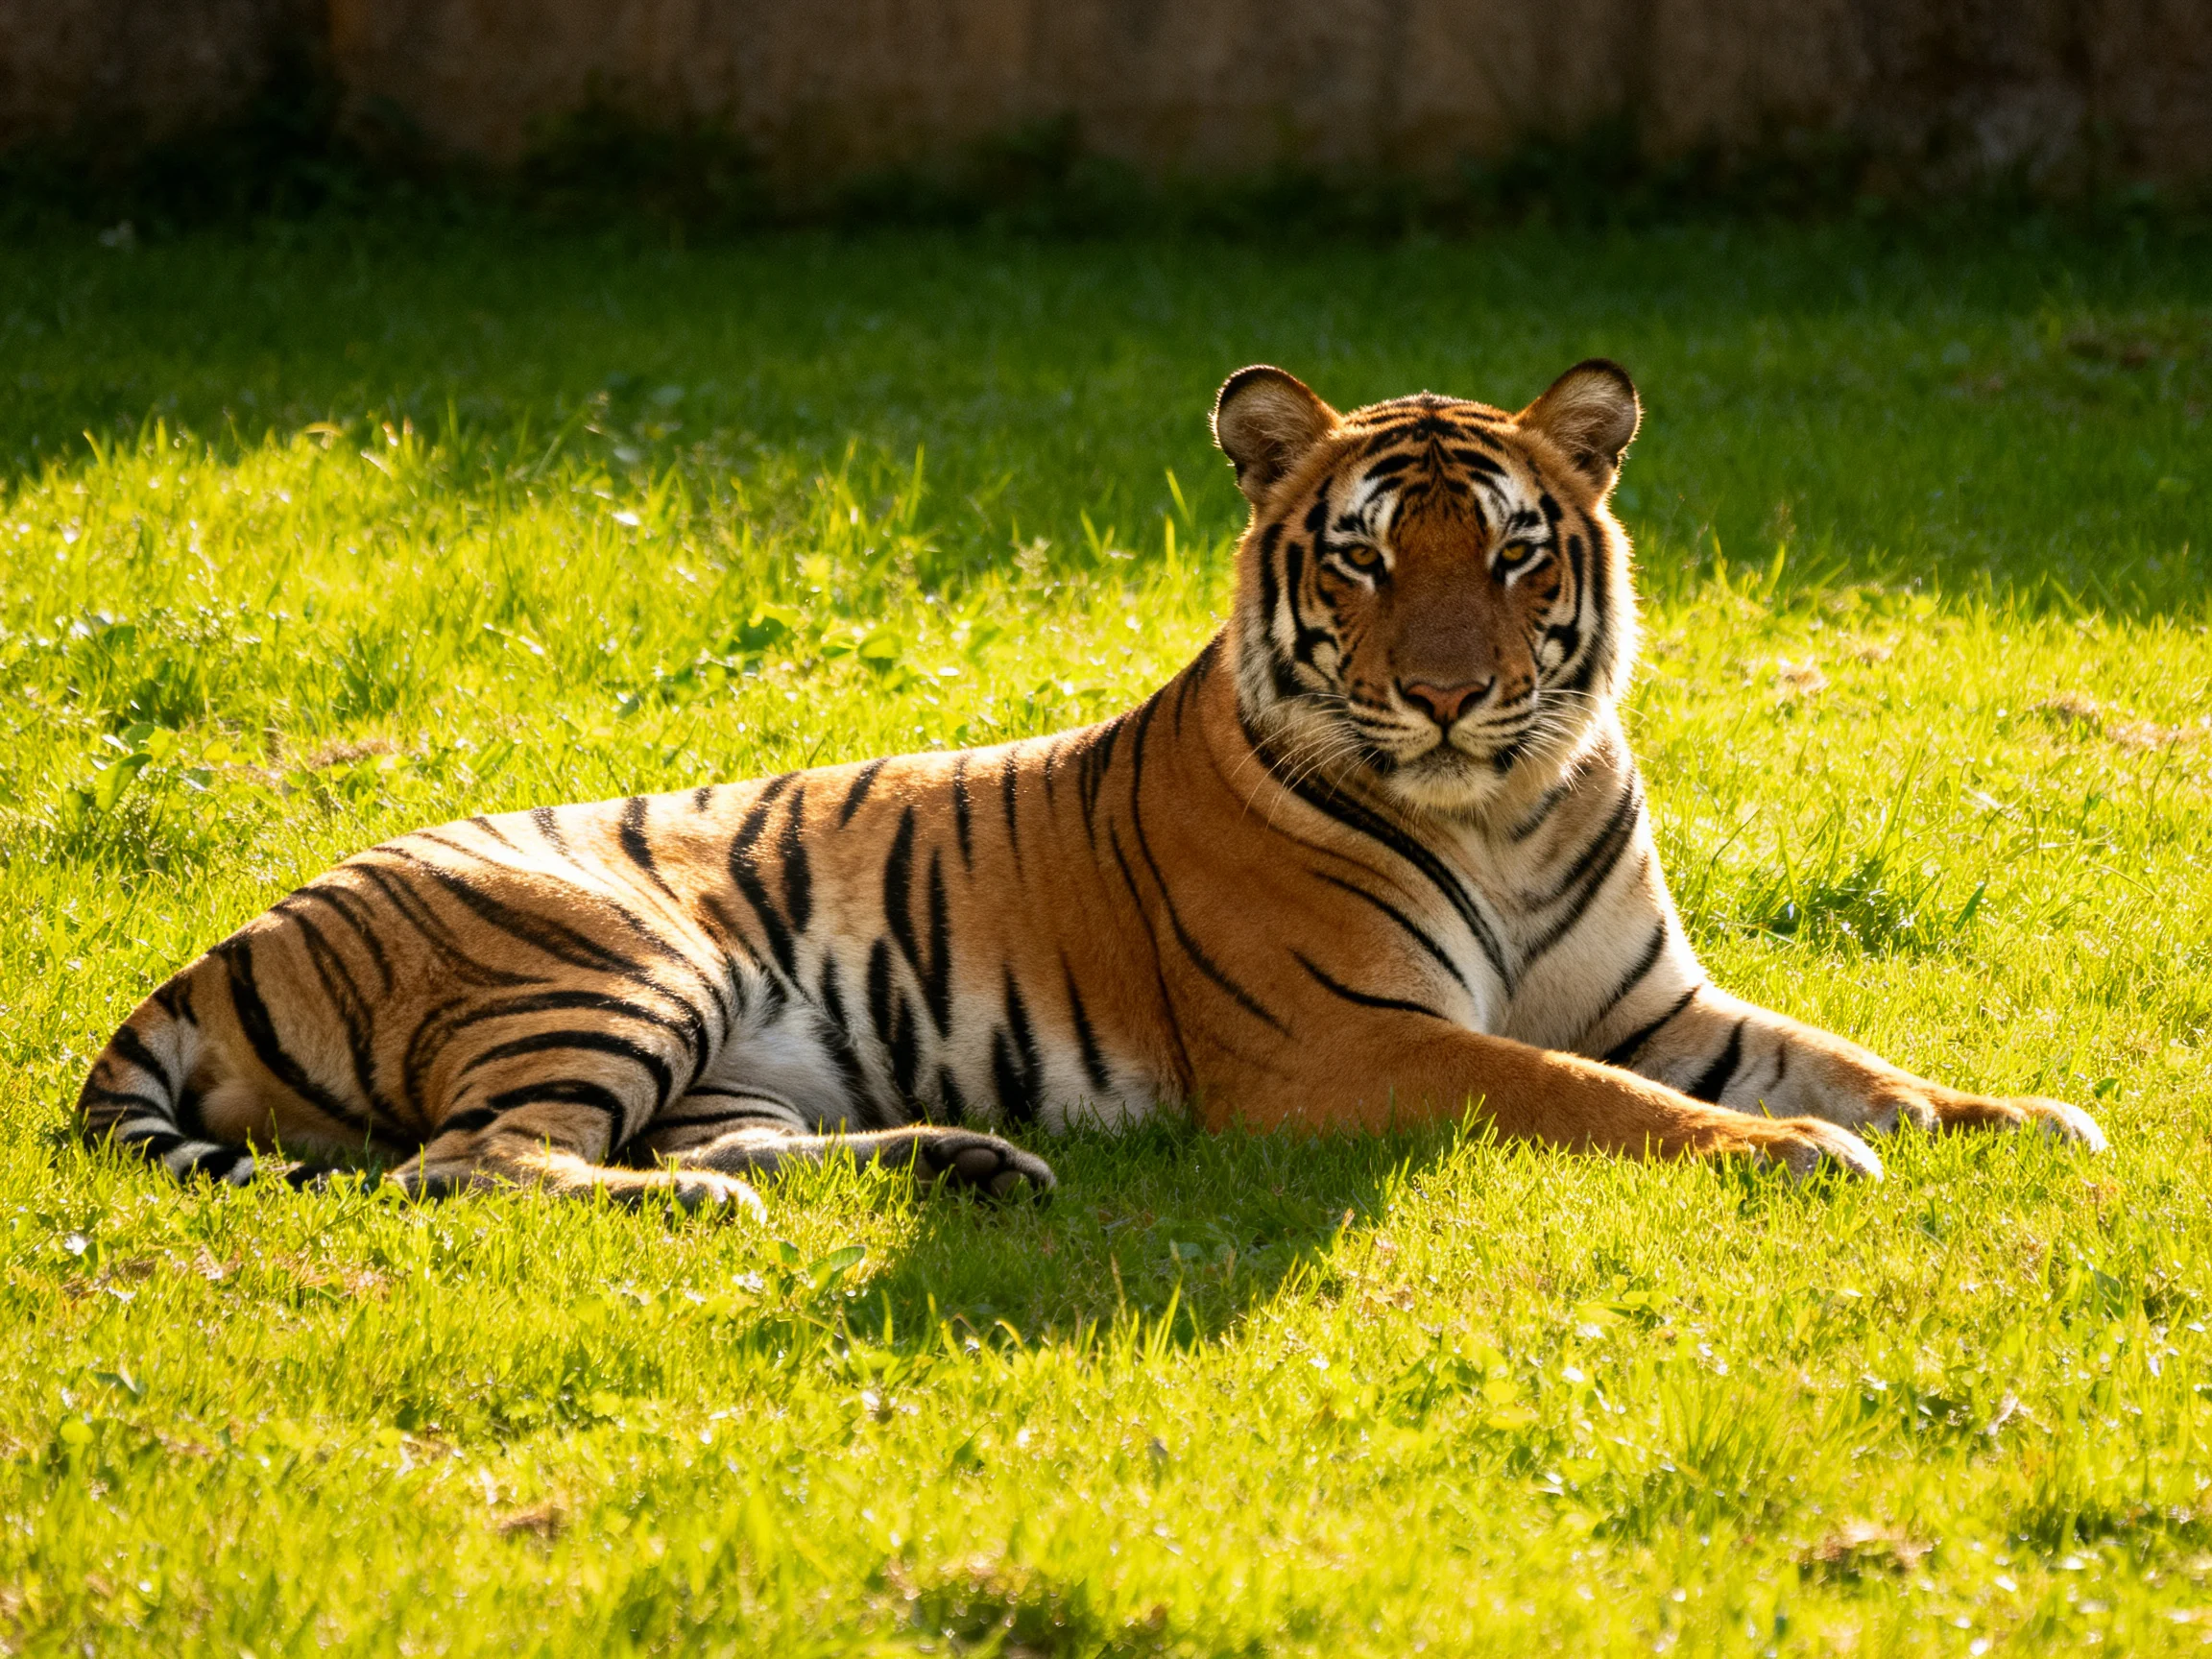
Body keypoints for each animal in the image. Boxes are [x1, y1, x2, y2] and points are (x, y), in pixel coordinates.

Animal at [75, 360, 2107, 1217]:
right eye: (1366, 555)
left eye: (1516, 549)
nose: (1449, 694)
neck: (1502, 803)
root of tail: (223, 940)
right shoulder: (1345, 1043)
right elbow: (1581, 1094)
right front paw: (1786, 1157)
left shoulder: (1653, 996)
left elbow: (1857, 1058)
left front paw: (2023, 1120)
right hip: (616, 960)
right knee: (475, 1168)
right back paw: (731, 1217)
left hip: (722, 1050)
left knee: (673, 1143)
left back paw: (964, 1162)